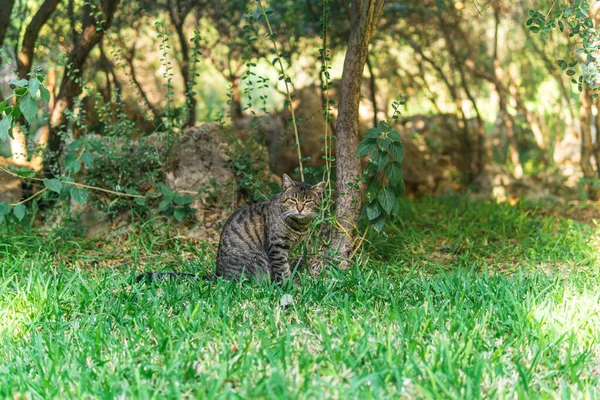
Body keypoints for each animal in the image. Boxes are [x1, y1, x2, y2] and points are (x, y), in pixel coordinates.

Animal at [137, 175, 324, 284]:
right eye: (293, 199)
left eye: (308, 201)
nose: (300, 208)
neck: (298, 225)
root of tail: (219, 274)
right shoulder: (277, 248)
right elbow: (283, 269)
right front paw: (288, 285)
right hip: (257, 262)